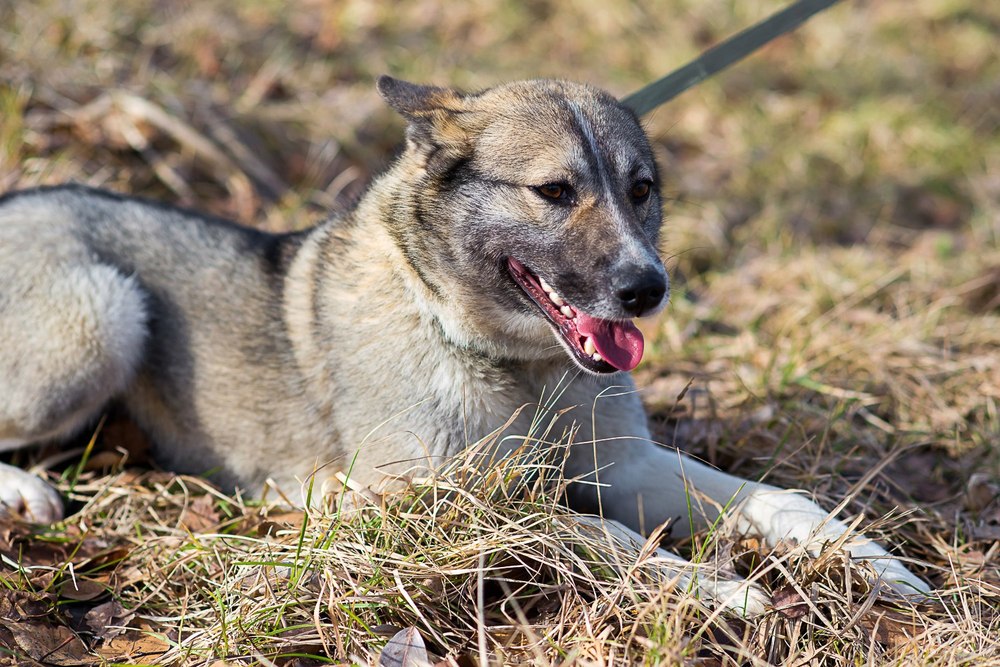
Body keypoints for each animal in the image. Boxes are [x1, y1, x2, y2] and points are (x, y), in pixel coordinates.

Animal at [0, 75, 928, 612]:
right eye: (554, 191)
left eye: (641, 189)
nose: (647, 288)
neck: (514, 363)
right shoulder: (436, 502)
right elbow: (589, 531)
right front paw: (713, 583)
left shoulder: (627, 464)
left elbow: (775, 498)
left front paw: (868, 557)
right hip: (103, 318)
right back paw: (24, 491)